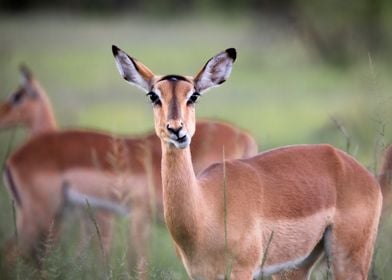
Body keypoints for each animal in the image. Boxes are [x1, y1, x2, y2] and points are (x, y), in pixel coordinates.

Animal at [112, 44, 382, 278]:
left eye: (194, 96)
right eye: (153, 96)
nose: (176, 130)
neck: (205, 209)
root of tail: (349, 164)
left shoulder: (242, 271)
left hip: (349, 260)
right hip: (298, 265)